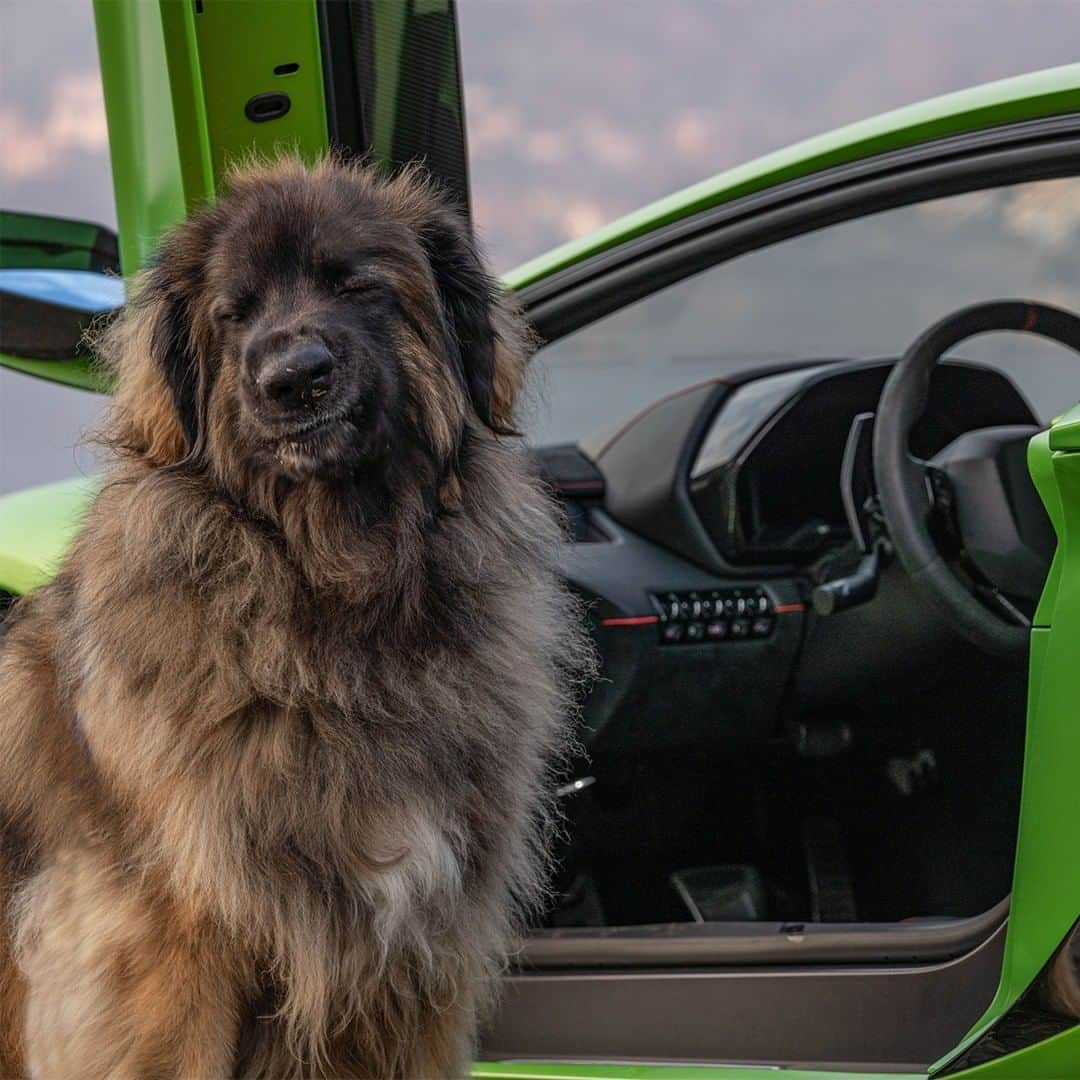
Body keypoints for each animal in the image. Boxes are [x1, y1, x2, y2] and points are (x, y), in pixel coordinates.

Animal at [2, 159, 591, 1080]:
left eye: (356, 285)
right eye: (234, 313)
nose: (294, 378)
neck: (337, 594)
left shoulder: (414, 963)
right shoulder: (164, 962)